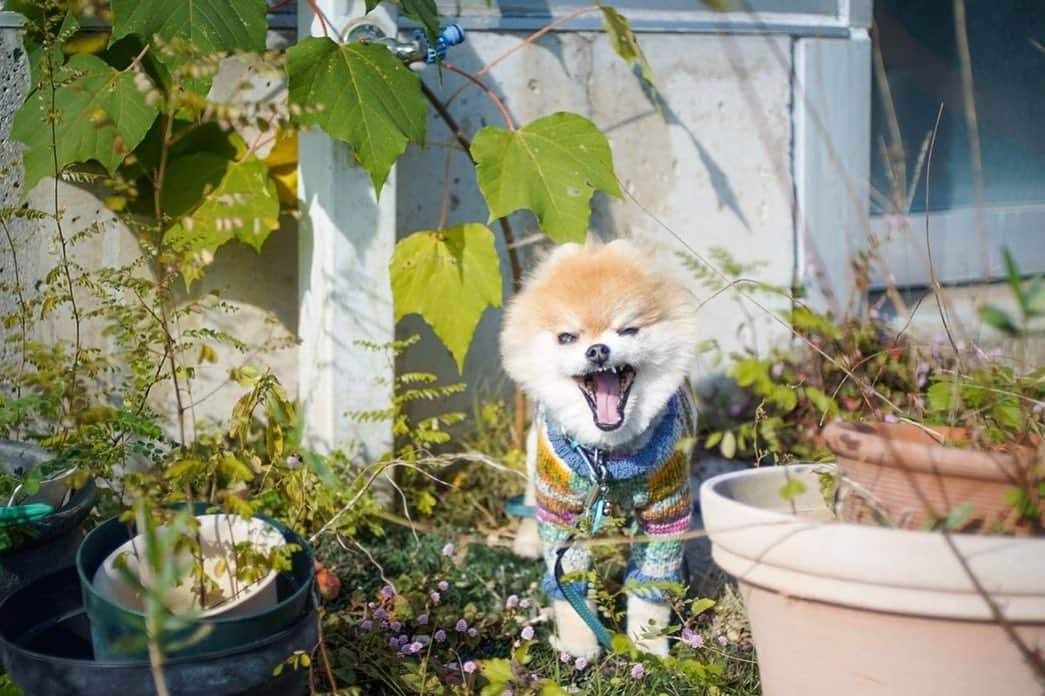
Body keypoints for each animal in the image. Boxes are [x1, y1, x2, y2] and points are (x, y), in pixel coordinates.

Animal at [499, 238, 698, 656]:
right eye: (567, 338)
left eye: (628, 330)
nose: (598, 350)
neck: (608, 457)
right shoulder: (563, 511)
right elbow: (568, 584)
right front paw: (579, 645)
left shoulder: (666, 512)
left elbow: (650, 587)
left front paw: (649, 647)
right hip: (536, 448)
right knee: (530, 490)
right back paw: (526, 537)